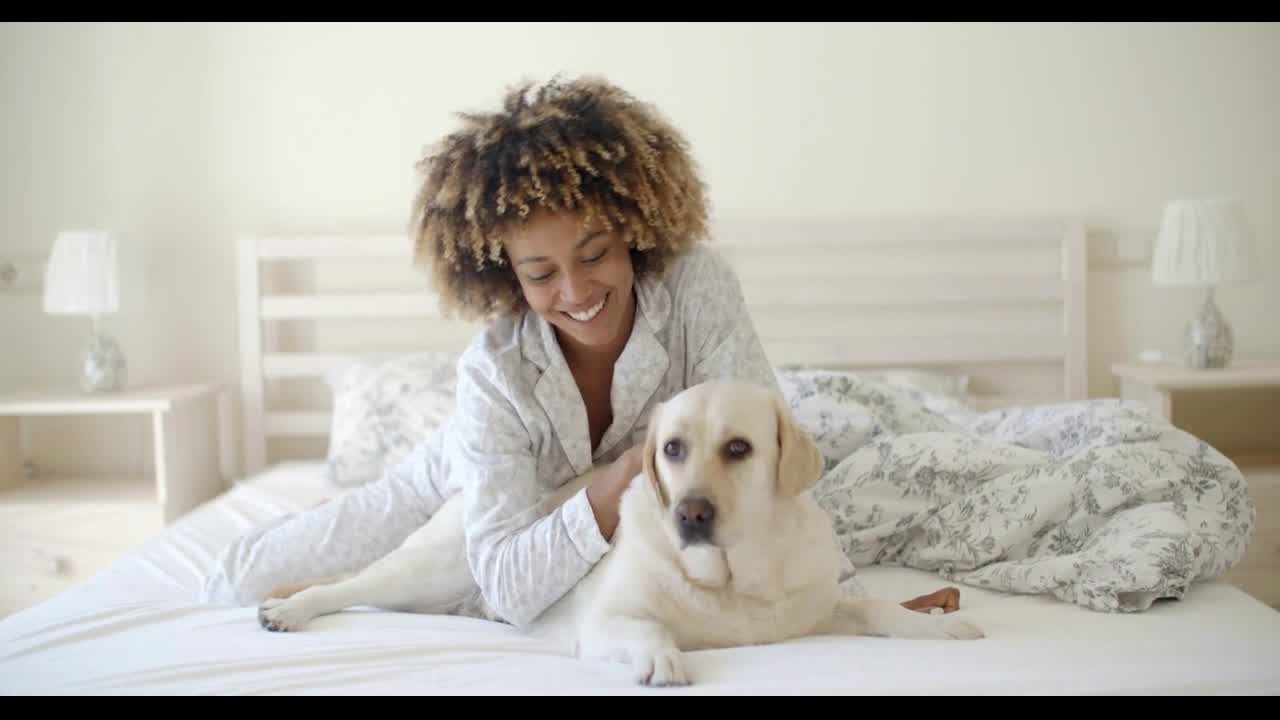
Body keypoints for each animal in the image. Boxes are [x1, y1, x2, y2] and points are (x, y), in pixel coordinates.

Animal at [257, 379, 977, 681]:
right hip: (429, 568)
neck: (732, 581)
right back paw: (288, 610)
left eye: (739, 449)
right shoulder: (607, 618)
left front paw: (938, 623)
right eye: (673, 449)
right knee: (347, 586)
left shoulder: (821, 607)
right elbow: (645, 628)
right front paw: (661, 657)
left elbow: (878, 607)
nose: (690, 513)